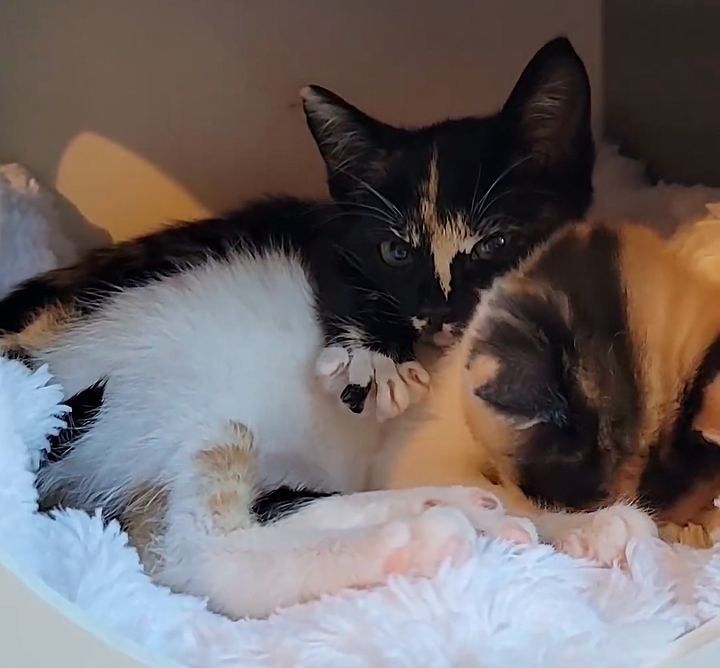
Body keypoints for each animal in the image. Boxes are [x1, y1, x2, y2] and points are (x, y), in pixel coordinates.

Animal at [1, 37, 596, 616]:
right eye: (395, 254)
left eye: (499, 243)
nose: (446, 316)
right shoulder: (406, 444)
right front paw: (586, 525)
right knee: (190, 547)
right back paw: (421, 534)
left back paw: (451, 507)